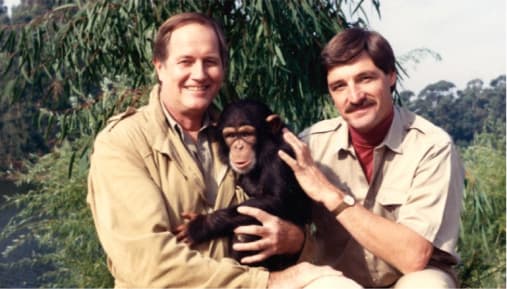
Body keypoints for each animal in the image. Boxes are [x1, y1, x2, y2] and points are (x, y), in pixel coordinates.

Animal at [179, 99, 314, 270]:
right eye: (230, 135)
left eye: (246, 134)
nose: (238, 146)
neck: (263, 150)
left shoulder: (281, 157)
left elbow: (278, 200)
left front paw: (201, 225)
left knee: (245, 234)